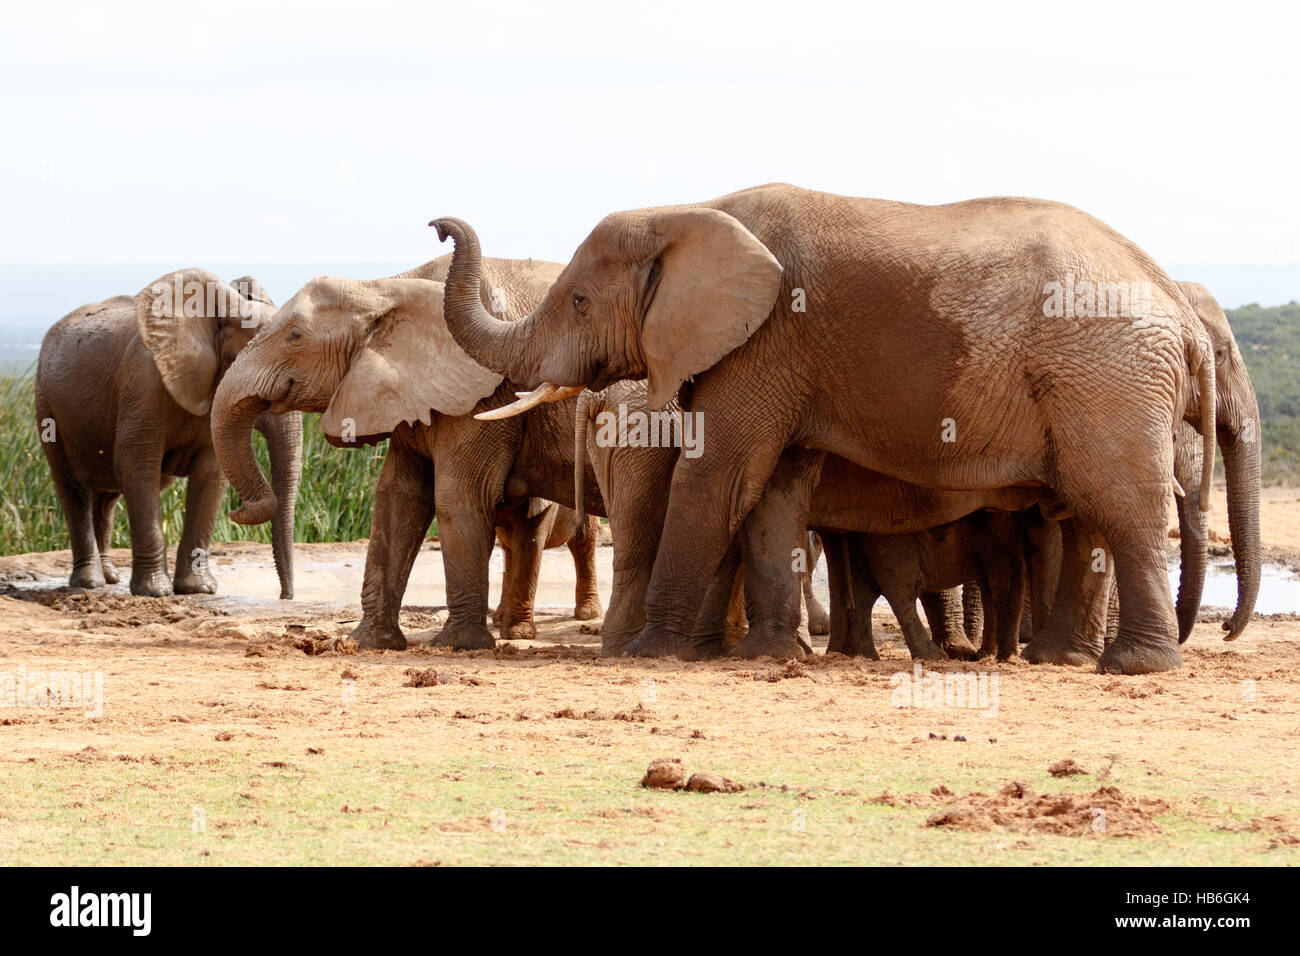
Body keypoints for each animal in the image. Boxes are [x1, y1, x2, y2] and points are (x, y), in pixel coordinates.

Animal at [34, 269, 301, 598]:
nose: (285, 597)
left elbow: (210, 475)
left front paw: (197, 589)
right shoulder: (143, 382)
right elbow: (137, 466)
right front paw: (155, 592)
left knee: (106, 498)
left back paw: (109, 578)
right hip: (46, 405)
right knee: (73, 488)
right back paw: (90, 583)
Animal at [209, 257, 603, 655]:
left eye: (294, 336)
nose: (236, 511)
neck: (384, 288)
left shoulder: (485, 392)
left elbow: (457, 498)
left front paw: (458, 645)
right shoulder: (408, 393)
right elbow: (398, 499)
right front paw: (366, 642)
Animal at [428, 183, 1237, 676]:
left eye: (580, 300)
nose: (436, 221)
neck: (691, 210)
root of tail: (1179, 308)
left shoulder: (764, 342)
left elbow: (718, 474)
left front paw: (654, 655)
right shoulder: (778, 360)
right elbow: (770, 488)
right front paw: (768, 656)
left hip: (1106, 375)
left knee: (1121, 506)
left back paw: (1132, 666)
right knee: (1099, 509)